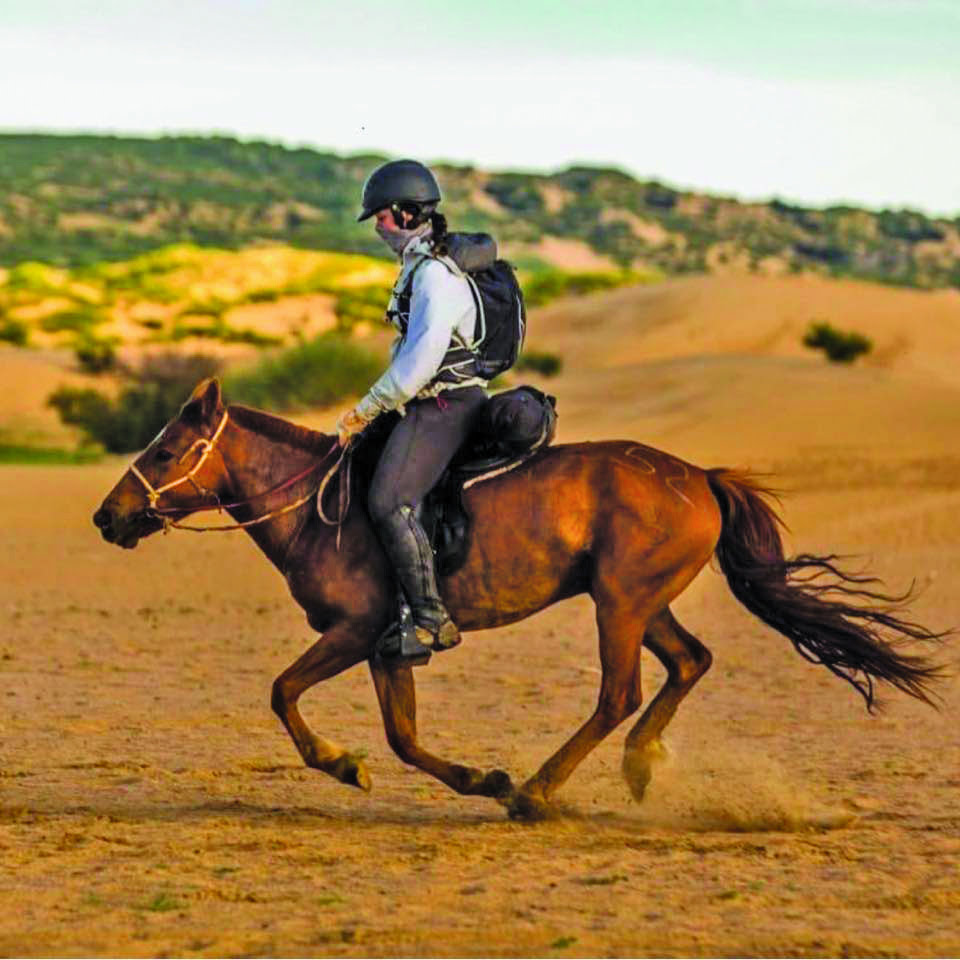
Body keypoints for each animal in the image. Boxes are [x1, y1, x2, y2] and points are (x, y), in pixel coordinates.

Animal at [94, 378, 940, 820]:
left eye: (165, 452)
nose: (108, 516)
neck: (319, 507)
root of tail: (699, 477)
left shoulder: (354, 630)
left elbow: (282, 692)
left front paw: (341, 764)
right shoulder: (387, 643)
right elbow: (403, 737)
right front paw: (479, 779)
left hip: (619, 604)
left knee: (619, 692)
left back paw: (538, 792)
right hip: (641, 602)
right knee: (689, 663)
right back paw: (633, 768)